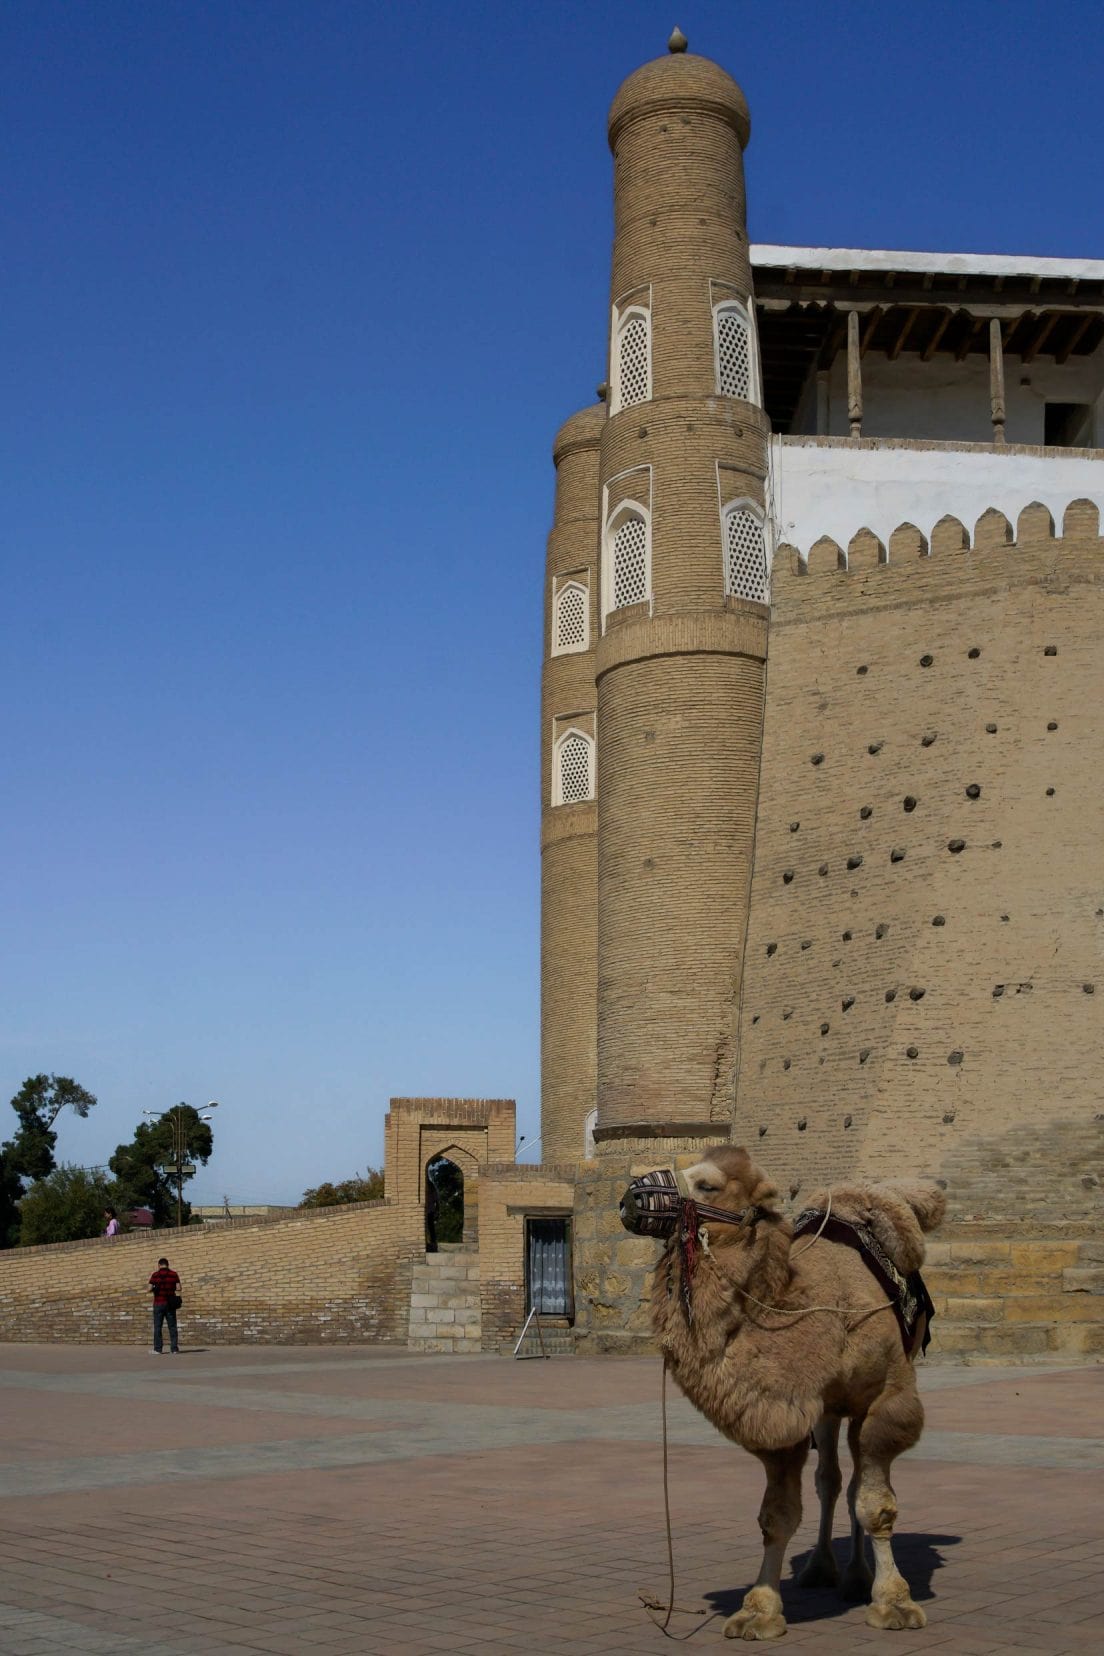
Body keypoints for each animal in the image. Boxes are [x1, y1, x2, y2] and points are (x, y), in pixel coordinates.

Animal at [619, 1145, 946, 1636]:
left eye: (708, 1184)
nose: (628, 1198)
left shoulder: (886, 1397)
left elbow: (875, 1505)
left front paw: (895, 1603)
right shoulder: (785, 1410)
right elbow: (777, 1517)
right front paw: (759, 1610)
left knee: (853, 1481)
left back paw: (857, 1577)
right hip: (828, 1410)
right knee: (831, 1480)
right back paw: (824, 1570)